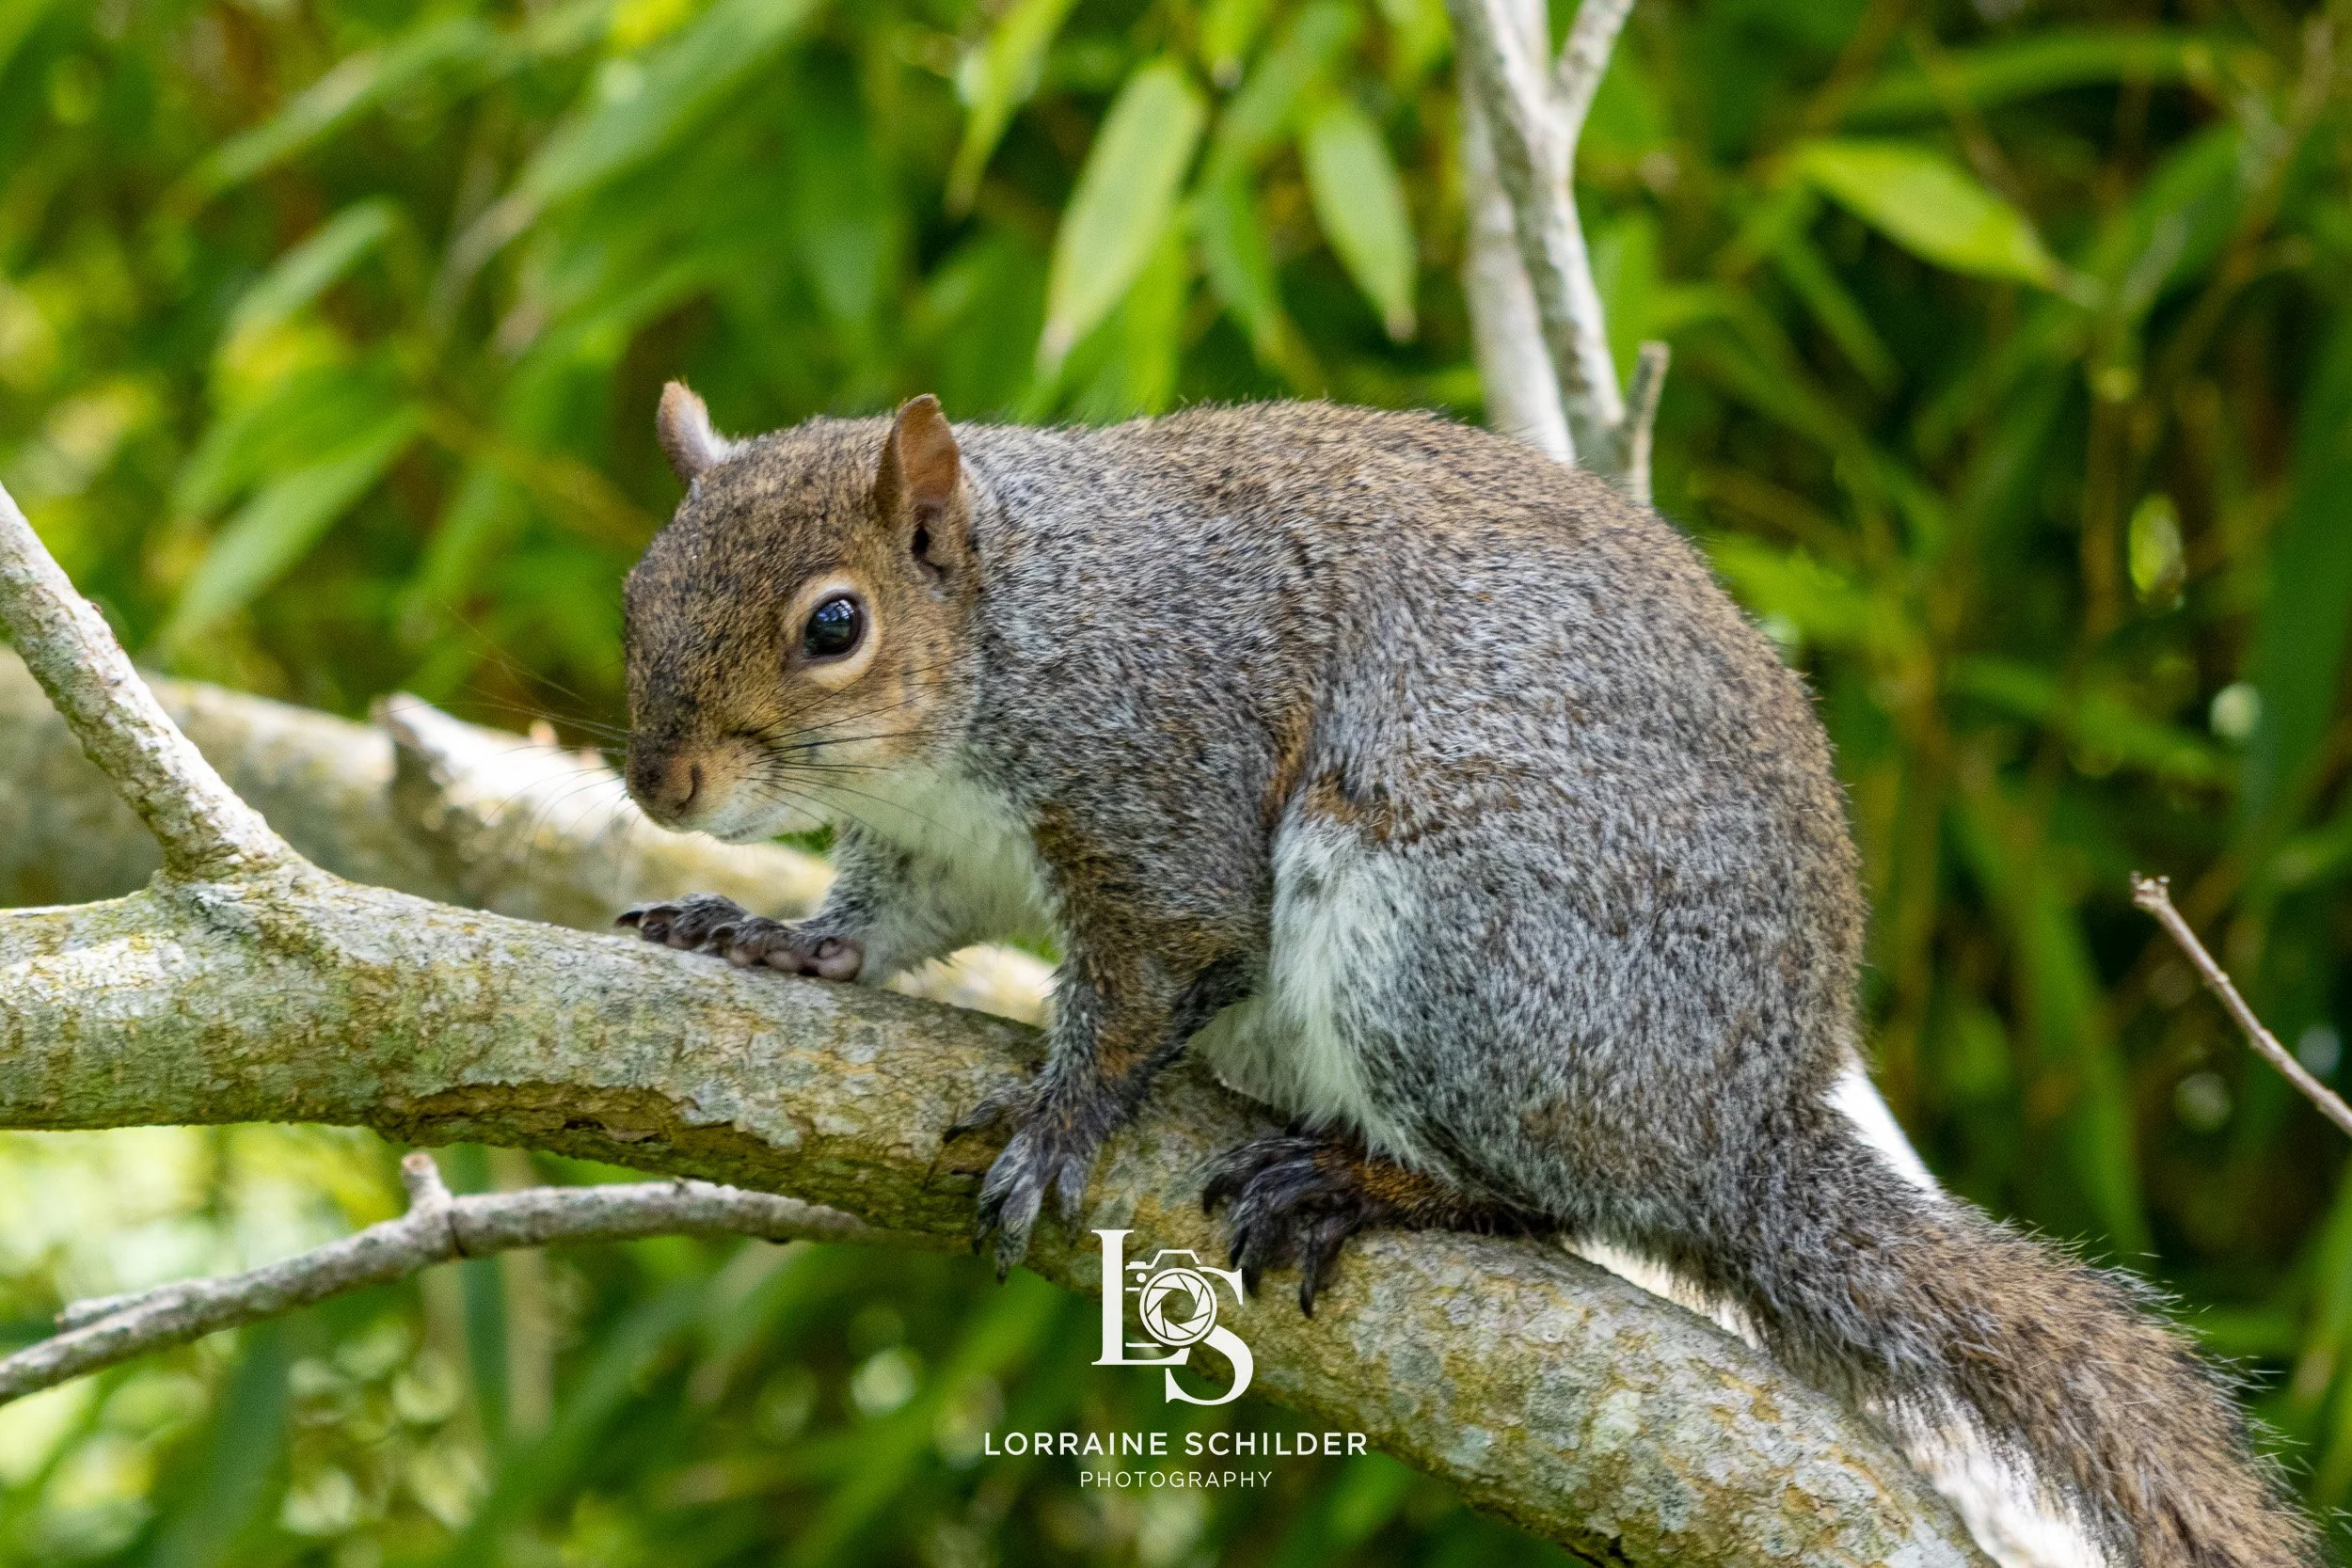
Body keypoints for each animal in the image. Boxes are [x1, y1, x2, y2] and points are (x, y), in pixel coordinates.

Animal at [616, 383, 2317, 1568]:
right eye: (638, 590)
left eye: (835, 624)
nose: (657, 784)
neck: (1015, 636)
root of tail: (1743, 1134)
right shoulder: (947, 845)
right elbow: (888, 920)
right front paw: (778, 935)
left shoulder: (1164, 781)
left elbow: (1149, 977)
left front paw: (1057, 1120)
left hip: (1463, 948)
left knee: (1551, 1196)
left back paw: (1374, 1183)